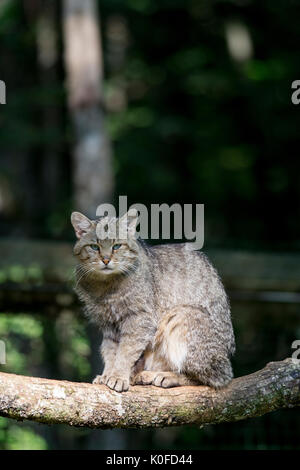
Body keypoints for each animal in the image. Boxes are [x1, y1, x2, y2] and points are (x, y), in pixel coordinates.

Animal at [71, 210, 236, 392]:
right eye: (94, 247)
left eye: (117, 246)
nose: (106, 260)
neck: (105, 286)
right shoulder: (108, 324)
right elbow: (110, 352)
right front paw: (107, 374)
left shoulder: (140, 319)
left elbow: (126, 351)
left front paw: (118, 376)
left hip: (181, 315)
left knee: (213, 378)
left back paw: (166, 376)